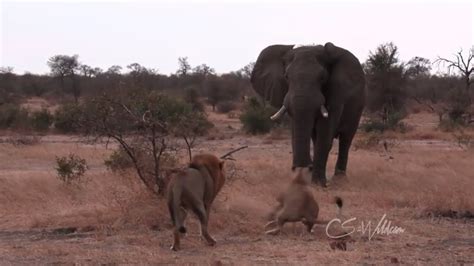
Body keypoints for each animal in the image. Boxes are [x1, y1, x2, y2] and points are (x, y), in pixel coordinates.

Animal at [250, 42, 364, 186]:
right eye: (286, 77)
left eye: (322, 77)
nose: (301, 168)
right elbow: (296, 129)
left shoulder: (337, 91)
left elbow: (325, 130)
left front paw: (318, 184)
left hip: (358, 106)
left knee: (346, 139)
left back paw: (340, 179)